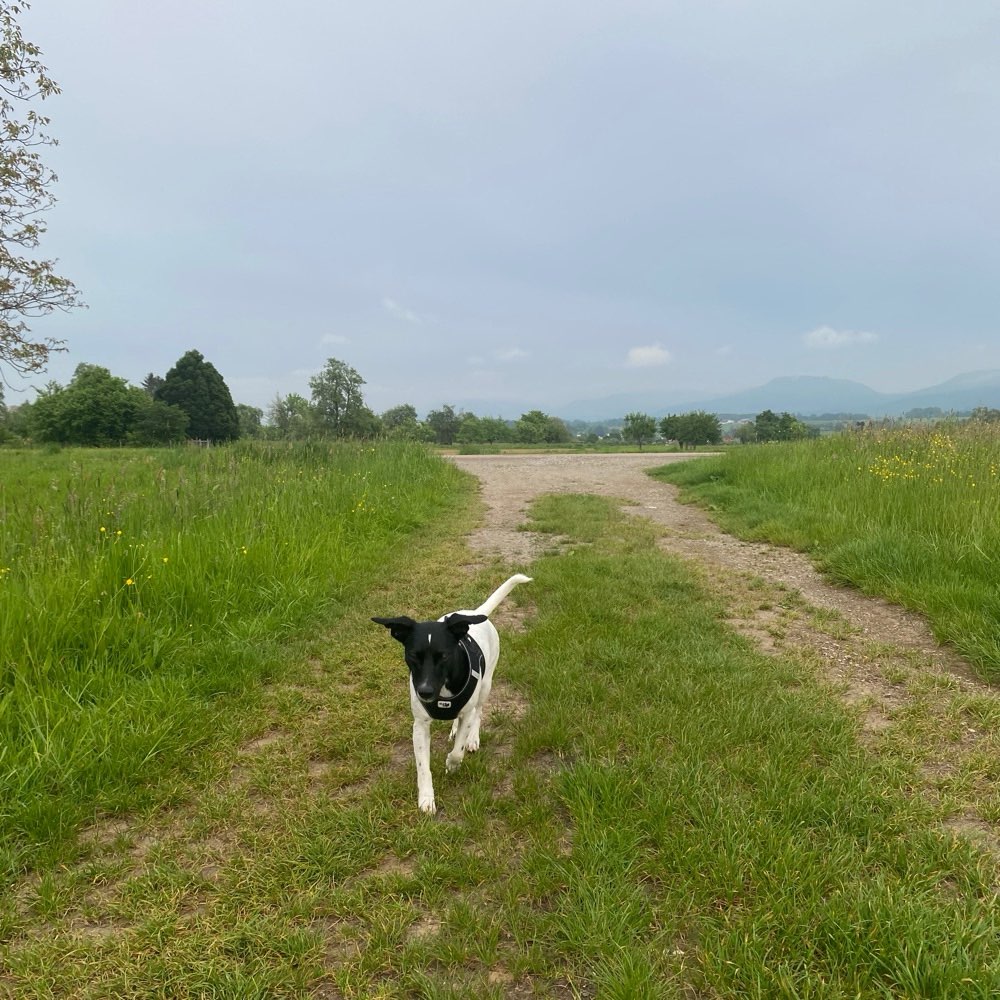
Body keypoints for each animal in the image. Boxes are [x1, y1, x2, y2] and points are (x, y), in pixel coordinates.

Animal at [374, 580, 532, 812]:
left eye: (444, 656)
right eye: (413, 655)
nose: (425, 691)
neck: (442, 689)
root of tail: (474, 613)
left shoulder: (467, 711)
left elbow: (458, 749)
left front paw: (452, 762)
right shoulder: (420, 725)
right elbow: (423, 766)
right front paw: (426, 798)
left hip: (486, 684)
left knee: (478, 711)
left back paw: (472, 737)